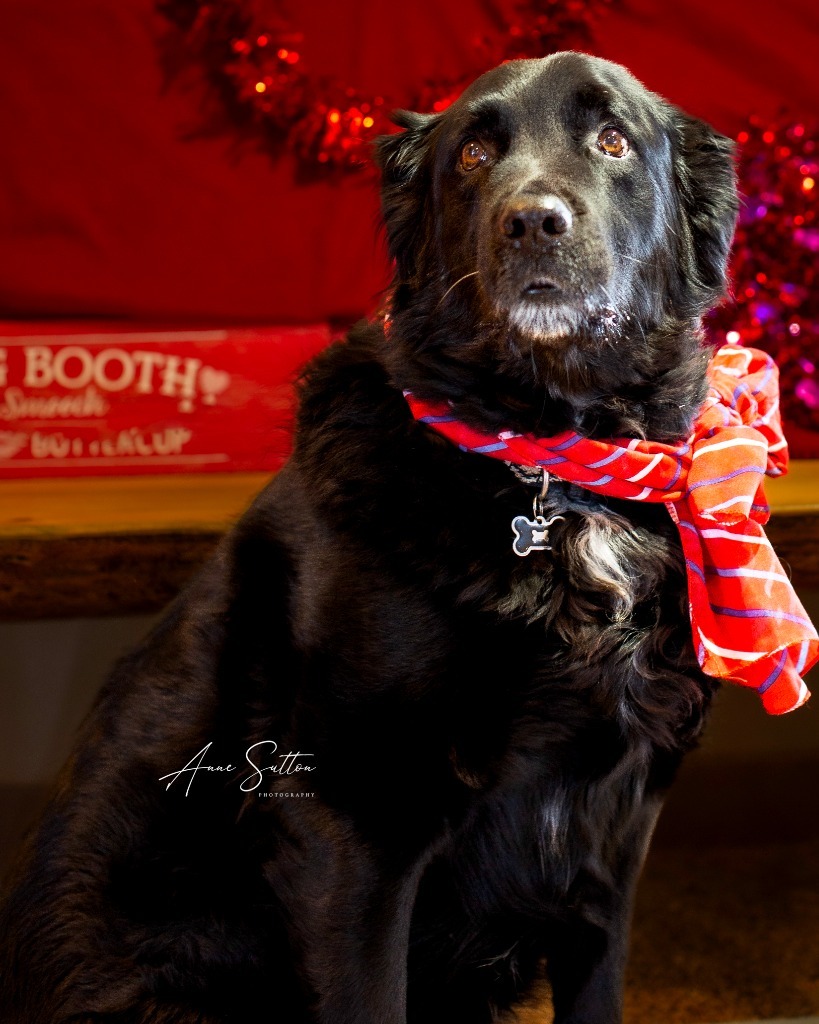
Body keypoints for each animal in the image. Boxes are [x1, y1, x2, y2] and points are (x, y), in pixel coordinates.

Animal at [0, 54, 737, 1024]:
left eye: (613, 139)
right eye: (472, 153)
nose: (532, 221)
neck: (553, 468)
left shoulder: (613, 833)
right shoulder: (354, 818)